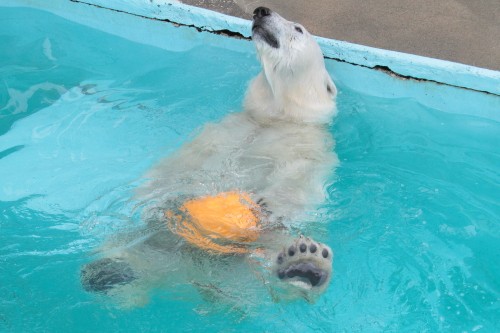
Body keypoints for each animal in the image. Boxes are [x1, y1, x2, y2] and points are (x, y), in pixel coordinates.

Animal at [82, 6, 338, 306]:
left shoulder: (308, 143)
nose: (261, 11)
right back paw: (109, 274)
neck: (274, 118)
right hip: (148, 240)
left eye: (298, 29)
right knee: (123, 255)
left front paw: (267, 205)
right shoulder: (225, 131)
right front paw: (158, 197)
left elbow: (301, 177)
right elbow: (181, 164)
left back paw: (304, 266)